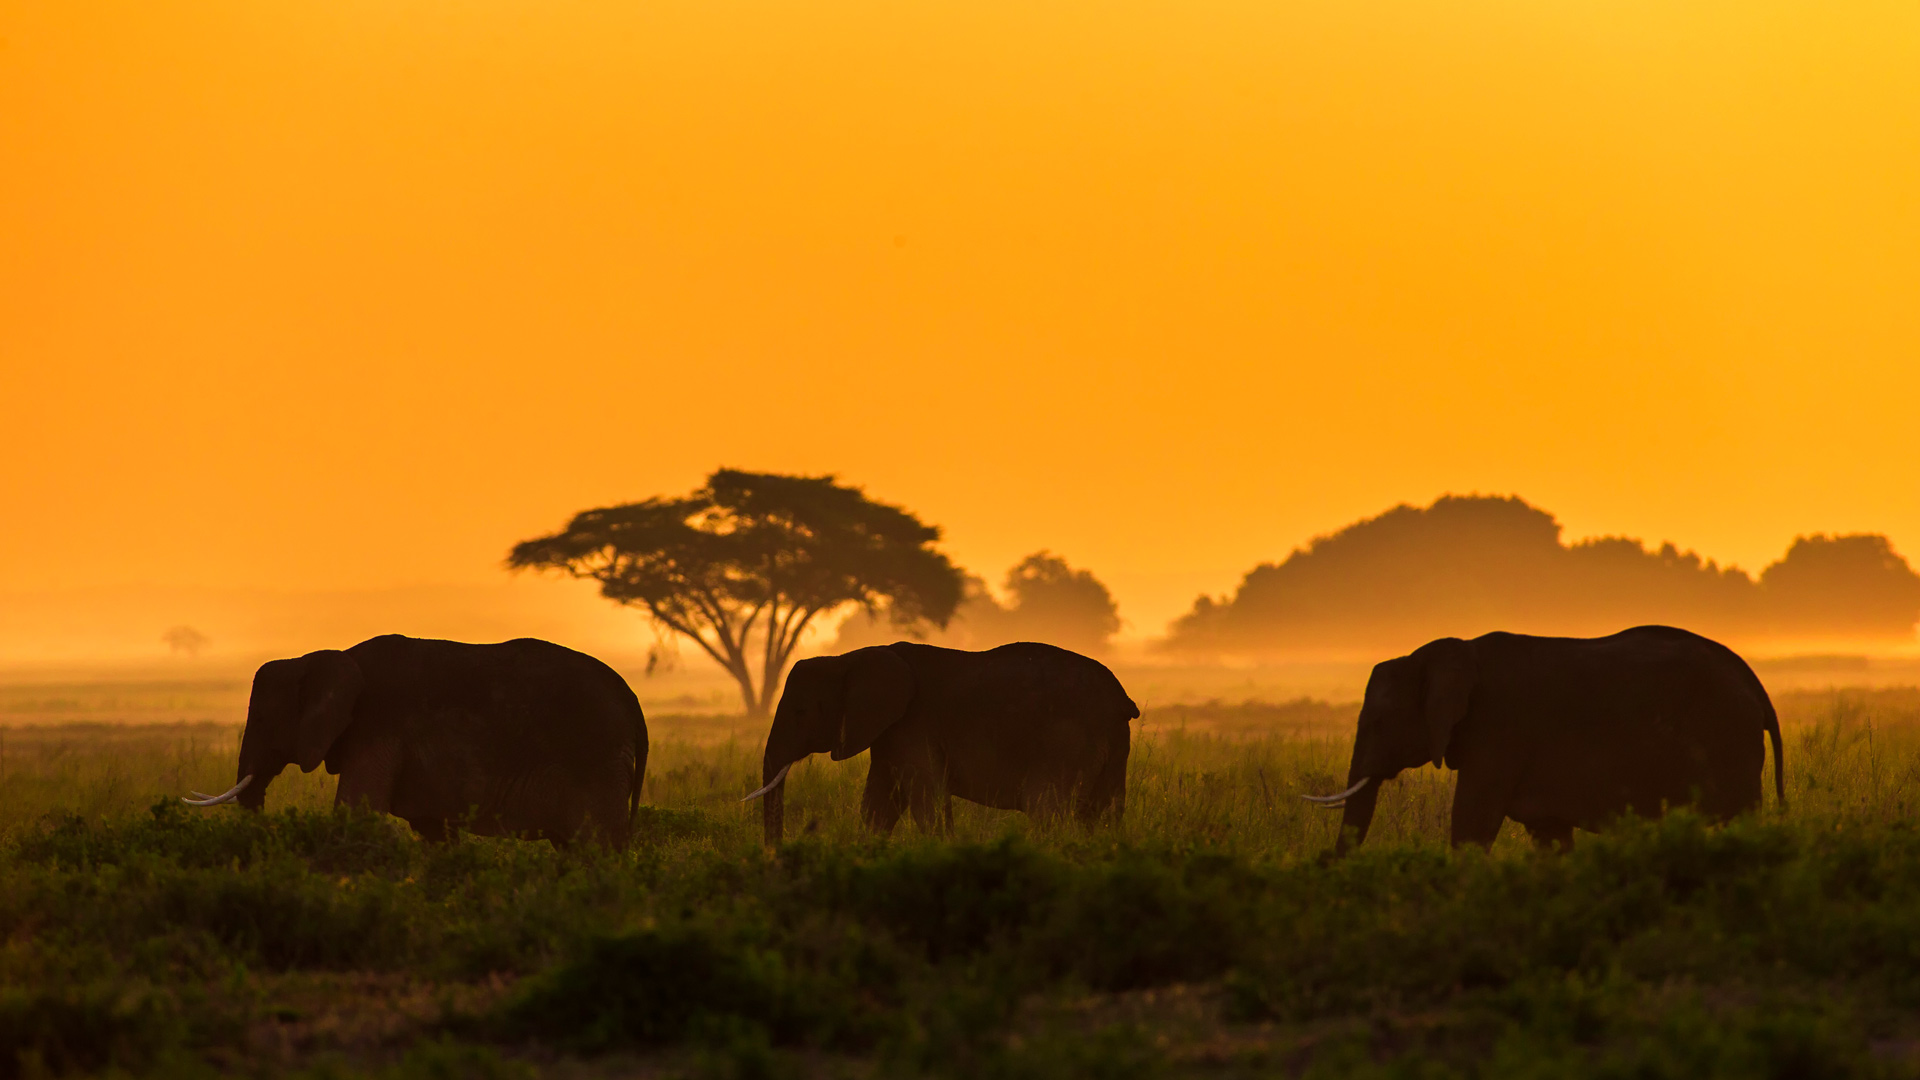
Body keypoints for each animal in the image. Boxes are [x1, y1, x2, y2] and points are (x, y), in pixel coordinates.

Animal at [187, 630, 652, 849]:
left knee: (595, 846)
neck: (325, 656)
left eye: (267, 717)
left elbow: (356, 811)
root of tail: (633, 701)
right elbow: (432, 830)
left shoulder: (377, 728)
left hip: (597, 756)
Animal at [744, 638, 1136, 841]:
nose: (774, 859)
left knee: (1046, 809)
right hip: (1113, 746)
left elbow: (925, 799)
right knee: (1102, 814)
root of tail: (1121, 700)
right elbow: (879, 804)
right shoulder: (889, 731)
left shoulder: (913, 725)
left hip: (1065, 741)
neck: (848, 657)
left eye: (800, 712)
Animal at [1305, 622, 1781, 849]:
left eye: (1379, 721)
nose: (1323, 860)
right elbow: (1549, 838)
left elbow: (1472, 824)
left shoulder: (1499, 732)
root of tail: (1753, 682)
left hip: (1728, 740)